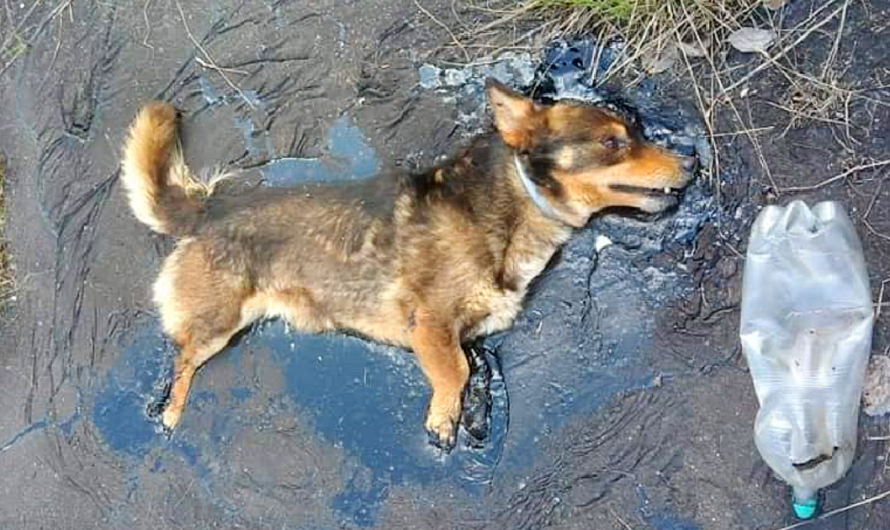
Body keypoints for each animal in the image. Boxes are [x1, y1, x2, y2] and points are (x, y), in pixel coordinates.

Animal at [118, 78, 692, 448]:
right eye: (612, 142)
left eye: (637, 134)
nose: (694, 162)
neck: (513, 205)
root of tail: (209, 207)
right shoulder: (431, 323)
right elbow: (455, 371)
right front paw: (444, 420)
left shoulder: (469, 333)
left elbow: (471, 367)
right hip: (216, 324)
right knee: (182, 361)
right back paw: (169, 412)